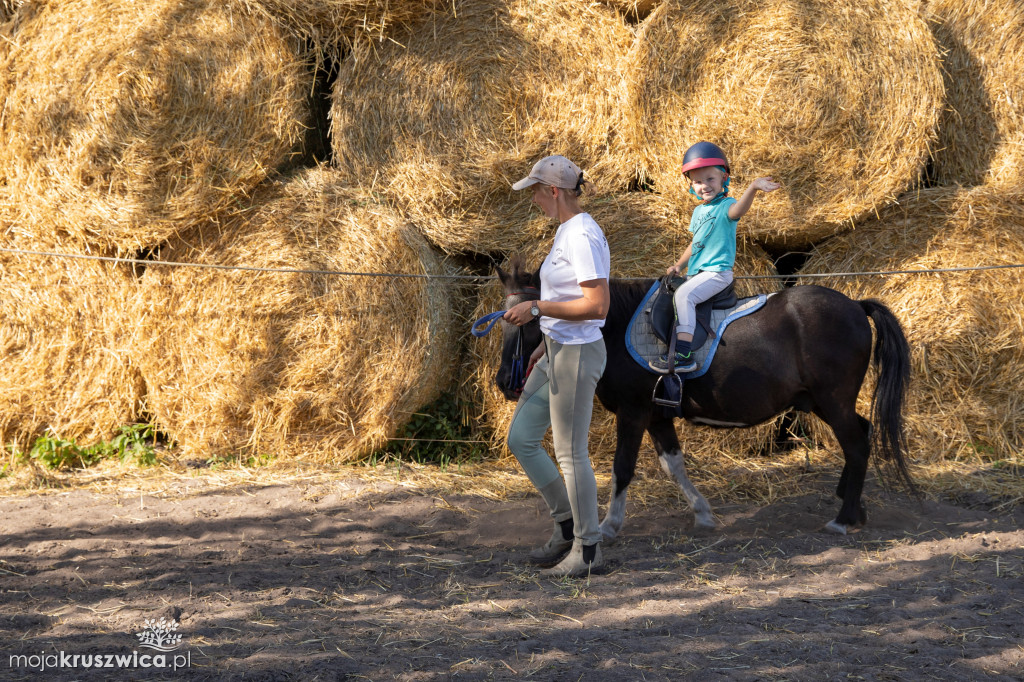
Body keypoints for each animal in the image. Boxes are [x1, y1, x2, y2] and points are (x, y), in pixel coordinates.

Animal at [491, 256, 917, 536]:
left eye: (529, 318)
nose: (503, 381)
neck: (614, 326)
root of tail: (856, 305)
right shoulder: (657, 416)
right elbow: (673, 466)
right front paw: (703, 513)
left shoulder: (633, 412)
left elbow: (622, 468)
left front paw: (610, 524)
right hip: (824, 402)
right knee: (861, 434)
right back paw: (852, 503)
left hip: (833, 400)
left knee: (857, 445)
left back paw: (844, 518)